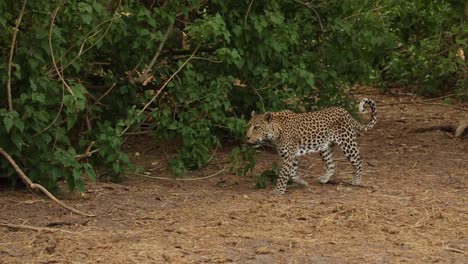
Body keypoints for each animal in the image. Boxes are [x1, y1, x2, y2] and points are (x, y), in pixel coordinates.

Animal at [245, 98, 376, 195]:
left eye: (256, 127)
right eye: (249, 126)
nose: (247, 137)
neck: (276, 131)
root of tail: (345, 112)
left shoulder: (289, 156)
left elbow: (283, 174)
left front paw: (279, 190)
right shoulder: (293, 156)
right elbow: (291, 173)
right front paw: (303, 183)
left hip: (347, 143)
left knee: (358, 160)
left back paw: (356, 180)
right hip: (324, 148)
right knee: (332, 164)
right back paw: (325, 179)